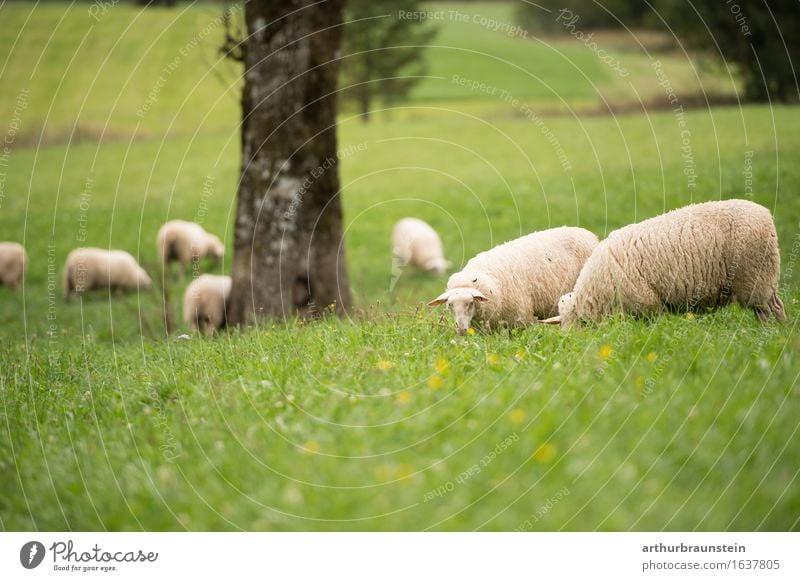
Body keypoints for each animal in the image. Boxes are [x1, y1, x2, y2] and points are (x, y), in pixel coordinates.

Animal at [536, 198, 788, 326]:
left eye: (581, 324)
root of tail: (765, 213)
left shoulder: (647, 305)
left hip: (755, 277)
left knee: (769, 310)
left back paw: (771, 332)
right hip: (763, 279)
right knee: (775, 306)